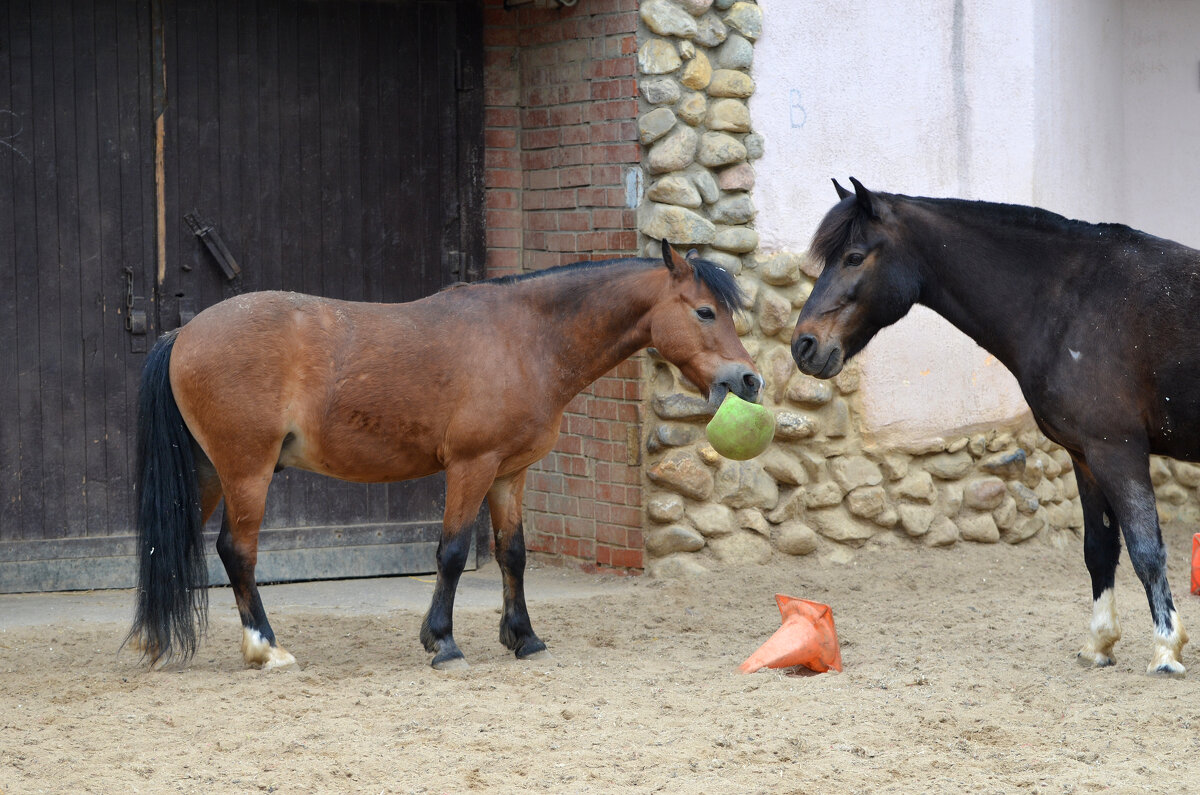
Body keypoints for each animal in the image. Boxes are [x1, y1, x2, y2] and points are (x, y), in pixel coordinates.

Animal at [129, 244, 758, 672]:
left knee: (169, 546)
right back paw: (266, 648)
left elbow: (513, 554)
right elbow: (453, 552)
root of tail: (184, 335)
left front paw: (524, 638)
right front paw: (443, 641)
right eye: (705, 312)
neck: (525, 338)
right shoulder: (471, 467)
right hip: (246, 471)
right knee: (237, 552)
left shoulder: (509, 473)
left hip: (209, 472)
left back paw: (150, 640)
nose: (748, 380)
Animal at [792, 178, 1195, 677]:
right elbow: (1099, 549)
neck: (1075, 300)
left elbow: (1146, 550)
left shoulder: (1117, 451)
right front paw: (1099, 644)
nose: (803, 345)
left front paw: (1166, 650)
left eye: (853, 257)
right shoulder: (1085, 456)